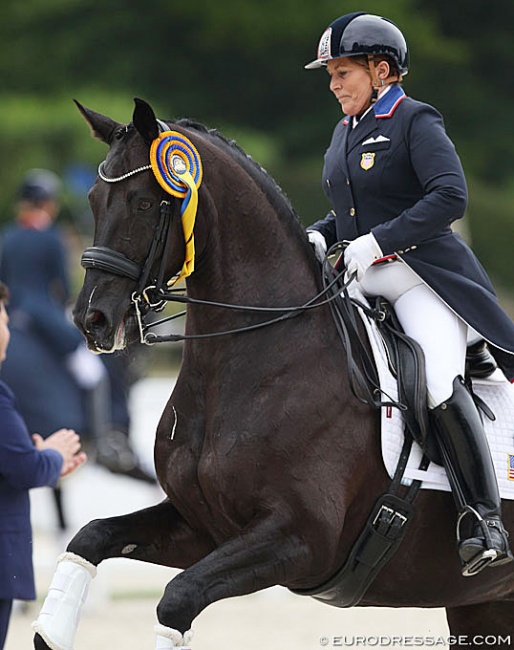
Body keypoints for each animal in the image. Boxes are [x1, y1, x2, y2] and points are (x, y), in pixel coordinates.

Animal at [33, 98, 512, 644]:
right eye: (94, 200)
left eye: (143, 203)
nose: (91, 319)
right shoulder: (203, 526)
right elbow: (91, 536)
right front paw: (50, 632)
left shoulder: (299, 541)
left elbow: (178, 597)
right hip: (483, 604)